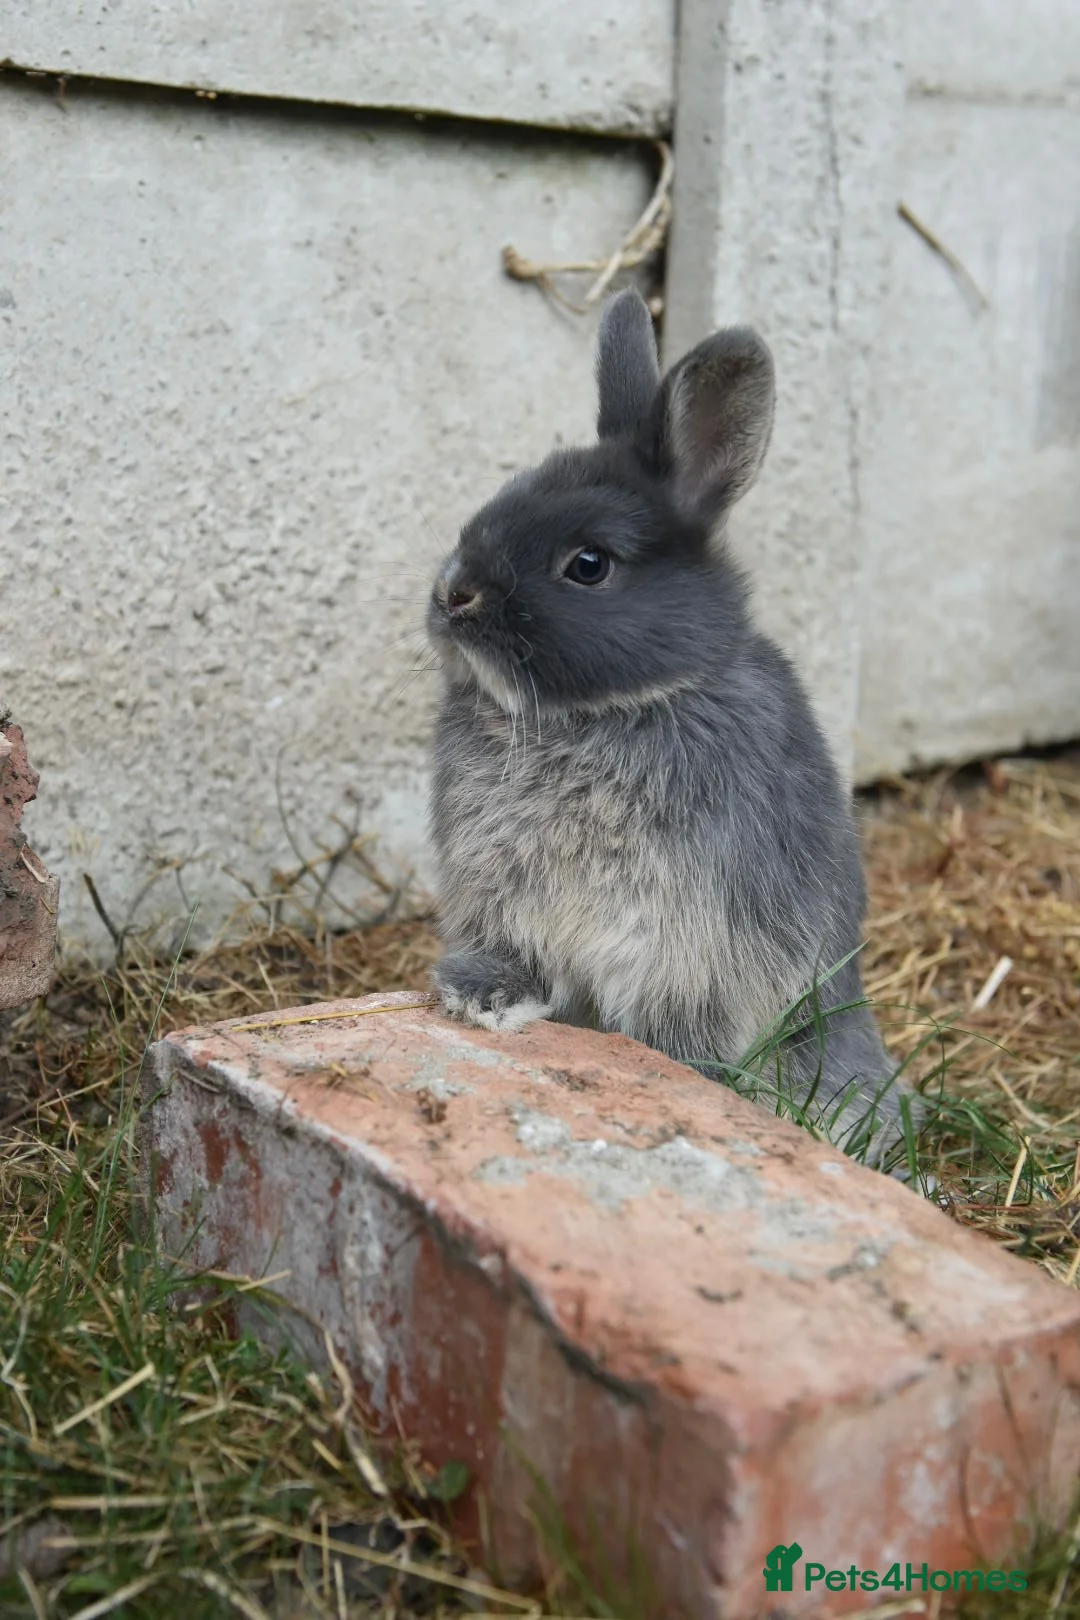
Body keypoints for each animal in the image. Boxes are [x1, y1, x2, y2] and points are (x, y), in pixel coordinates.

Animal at [425, 286, 921, 1167]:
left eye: (589, 565)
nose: (453, 594)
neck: (607, 712)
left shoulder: (692, 947)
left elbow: (681, 1022)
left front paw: (672, 1070)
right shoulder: (501, 902)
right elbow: (515, 958)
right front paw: (478, 996)